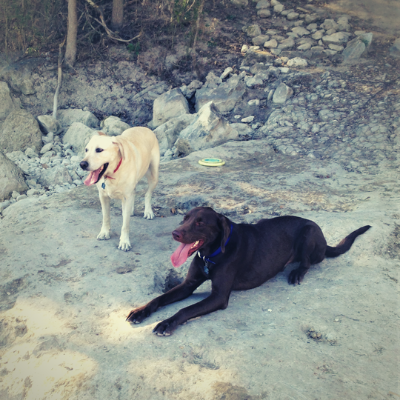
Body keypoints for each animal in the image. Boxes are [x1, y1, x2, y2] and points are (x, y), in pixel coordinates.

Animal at [126, 207, 370, 335]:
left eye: (200, 222)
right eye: (184, 218)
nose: (175, 233)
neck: (212, 254)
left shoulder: (218, 297)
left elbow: (185, 310)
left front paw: (166, 323)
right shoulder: (187, 285)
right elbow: (158, 298)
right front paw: (140, 312)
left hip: (309, 233)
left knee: (308, 262)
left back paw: (297, 272)